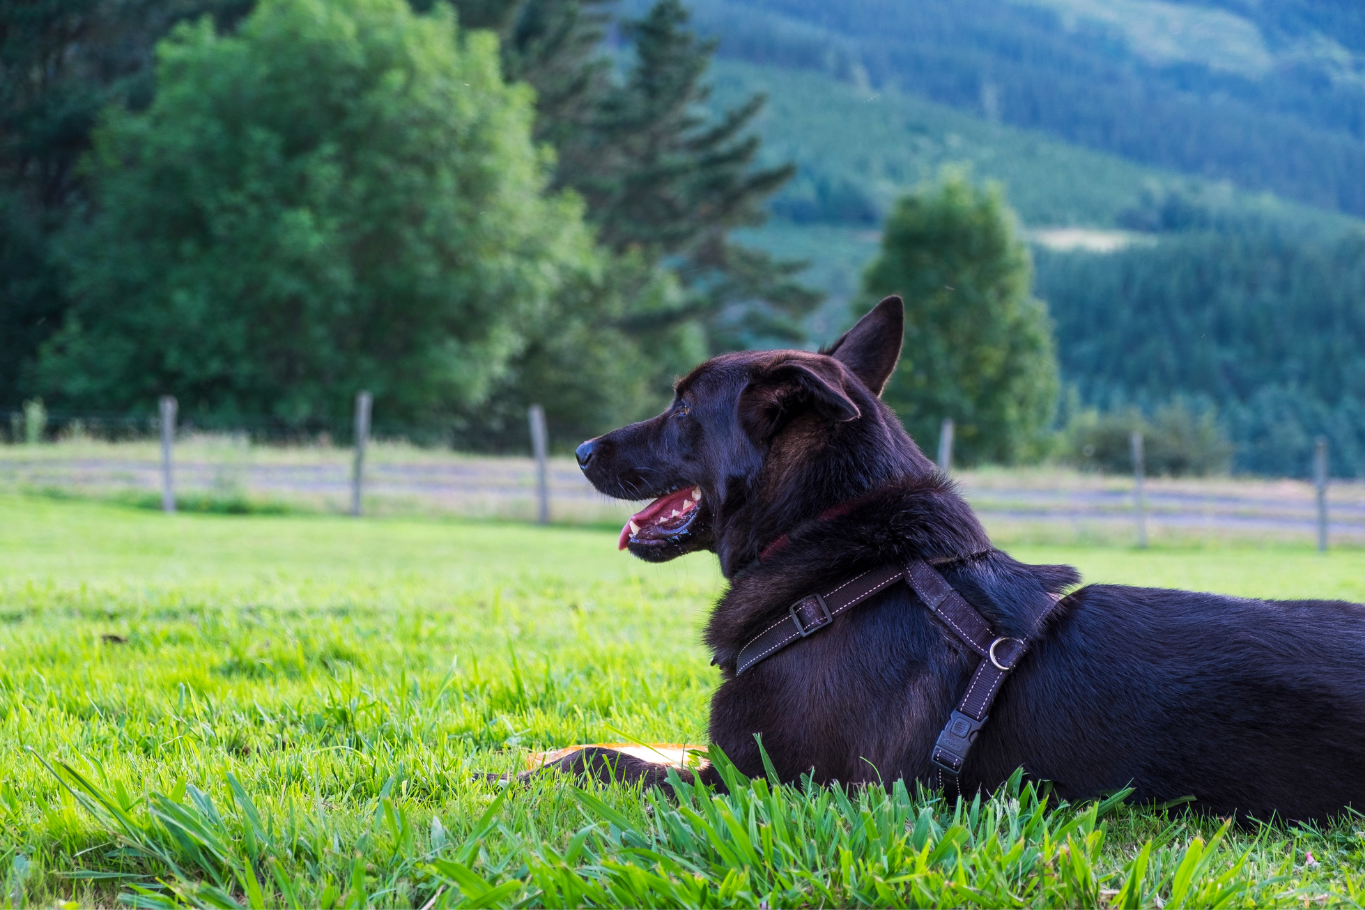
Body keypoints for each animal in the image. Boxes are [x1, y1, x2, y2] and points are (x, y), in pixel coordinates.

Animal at [546, 296, 1365, 824]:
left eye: (684, 407)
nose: (580, 450)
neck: (843, 570)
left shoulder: (766, 787)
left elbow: (608, 759)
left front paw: (531, 769)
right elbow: (644, 747)